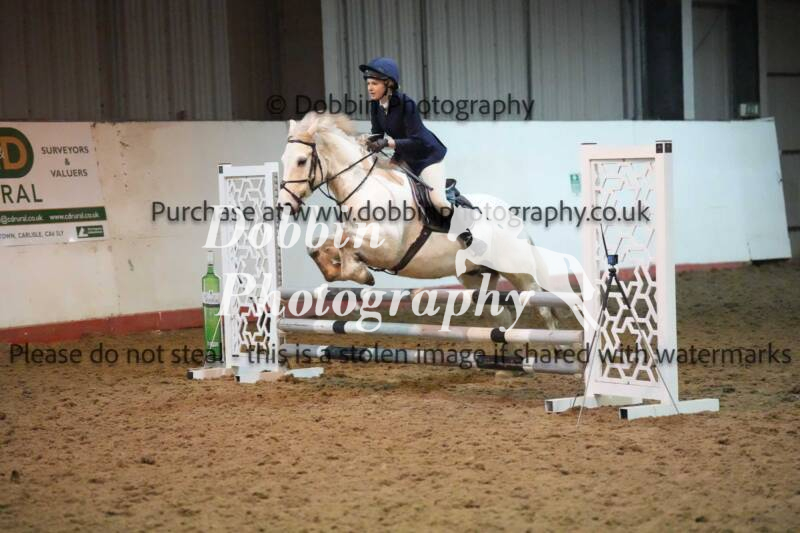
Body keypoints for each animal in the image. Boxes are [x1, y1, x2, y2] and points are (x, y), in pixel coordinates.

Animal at [277, 112, 563, 333]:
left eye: (302, 161)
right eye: (283, 161)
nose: (284, 204)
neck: (365, 188)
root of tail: (512, 216)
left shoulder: (387, 249)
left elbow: (347, 245)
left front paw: (360, 273)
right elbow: (318, 245)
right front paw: (336, 270)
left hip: (519, 272)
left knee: (542, 309)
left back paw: (551, 349)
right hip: (475, 276)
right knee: (500, 314)